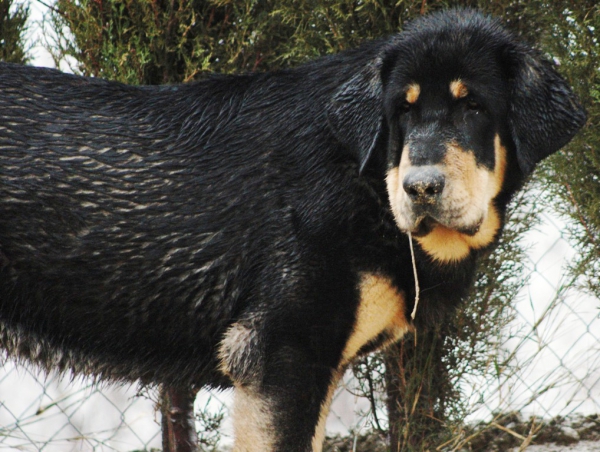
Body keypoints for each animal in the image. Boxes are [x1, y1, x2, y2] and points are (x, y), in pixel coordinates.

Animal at [0, 7, 584, 452]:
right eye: (401, 111)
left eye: (475, 107)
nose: (420, 188)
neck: (361, 174)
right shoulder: (283, 357)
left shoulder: (308, 368)